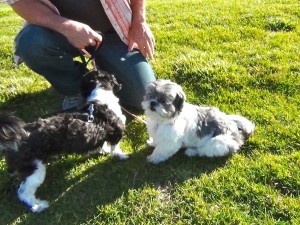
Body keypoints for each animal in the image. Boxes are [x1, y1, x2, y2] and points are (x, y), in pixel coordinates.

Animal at [0, 70, 127, 213]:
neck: (99, 99)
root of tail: (17, 137)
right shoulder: (116, 131)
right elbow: (115, 147)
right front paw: (121, 155)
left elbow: (103, 144)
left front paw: (103, 150)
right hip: (35, 170)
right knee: (24, 192)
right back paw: (38, 206)